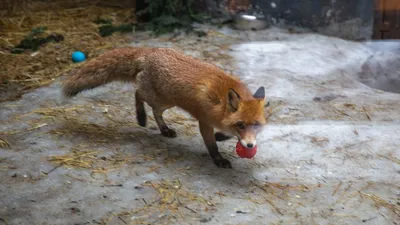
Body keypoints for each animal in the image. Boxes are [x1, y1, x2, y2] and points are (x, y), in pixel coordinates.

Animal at [61, 46, 266, 168]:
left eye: (256, 125)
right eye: (241, 124)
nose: (250, 145)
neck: (220, 103)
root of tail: (150, 51)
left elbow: (224, 135)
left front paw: (222, 136)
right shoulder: (204, 121)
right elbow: (211, 145)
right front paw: (219, 159)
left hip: (166, 101)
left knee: (155, 111)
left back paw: (164, 129)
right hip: (160, 98)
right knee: (138, 94)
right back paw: (141, 117)